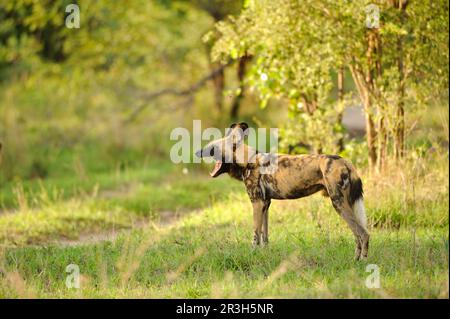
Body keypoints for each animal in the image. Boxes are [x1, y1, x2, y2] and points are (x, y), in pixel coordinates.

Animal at [196, 122, 370, 260]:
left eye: (212, 148)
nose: (197, 152)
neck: (247, 160)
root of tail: (345, 161)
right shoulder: (265, 204)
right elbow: (264, 236)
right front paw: (264, 254)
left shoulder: (257, 203)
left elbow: (255, 235)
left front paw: (252, 254)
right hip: (345, 204)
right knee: (358, 235)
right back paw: (355, 259)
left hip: (338, 203)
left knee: (363, 233)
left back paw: (362, 261)